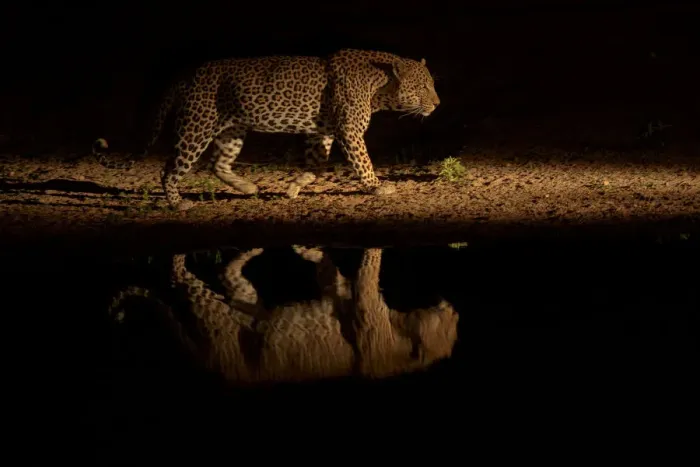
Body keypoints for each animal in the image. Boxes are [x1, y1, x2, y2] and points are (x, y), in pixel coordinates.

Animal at [92, 48, 441, 211]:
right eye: (424, 87)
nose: (437, 104)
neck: (380, 86)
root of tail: (188, 74)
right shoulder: (350, 131)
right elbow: (363, 161)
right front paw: (376, 186)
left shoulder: (322, 132)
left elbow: (316, 167)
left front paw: (294, 187)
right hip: (196, 127)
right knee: (170, 169)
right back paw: (178, 203)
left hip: (232, 131)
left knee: (218, 164)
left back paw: (247, 187)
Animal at [108, 246, 459, 385]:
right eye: (450, 328)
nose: (455, 311)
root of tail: (210, 366)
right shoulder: (366, 304)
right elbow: (369, 271)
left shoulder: (341, 292)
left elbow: (329, 272)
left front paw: (308, 250)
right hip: (214, 317)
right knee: (177, 274)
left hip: (241, 302)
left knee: (227, 274)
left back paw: (251, 253)